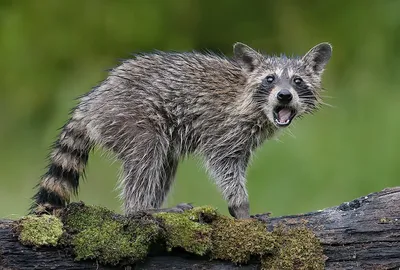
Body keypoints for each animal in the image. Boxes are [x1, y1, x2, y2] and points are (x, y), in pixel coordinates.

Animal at [30, 42, 332, 219]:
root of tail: (92, 101)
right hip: (130, 117)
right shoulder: (223, 128)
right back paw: (141, 210)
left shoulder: (244, 139)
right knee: (146, 157)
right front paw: (241, 207)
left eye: (297, 81)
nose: (284, 96)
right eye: (270, 79)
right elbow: (224, 165)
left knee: (164, 163)